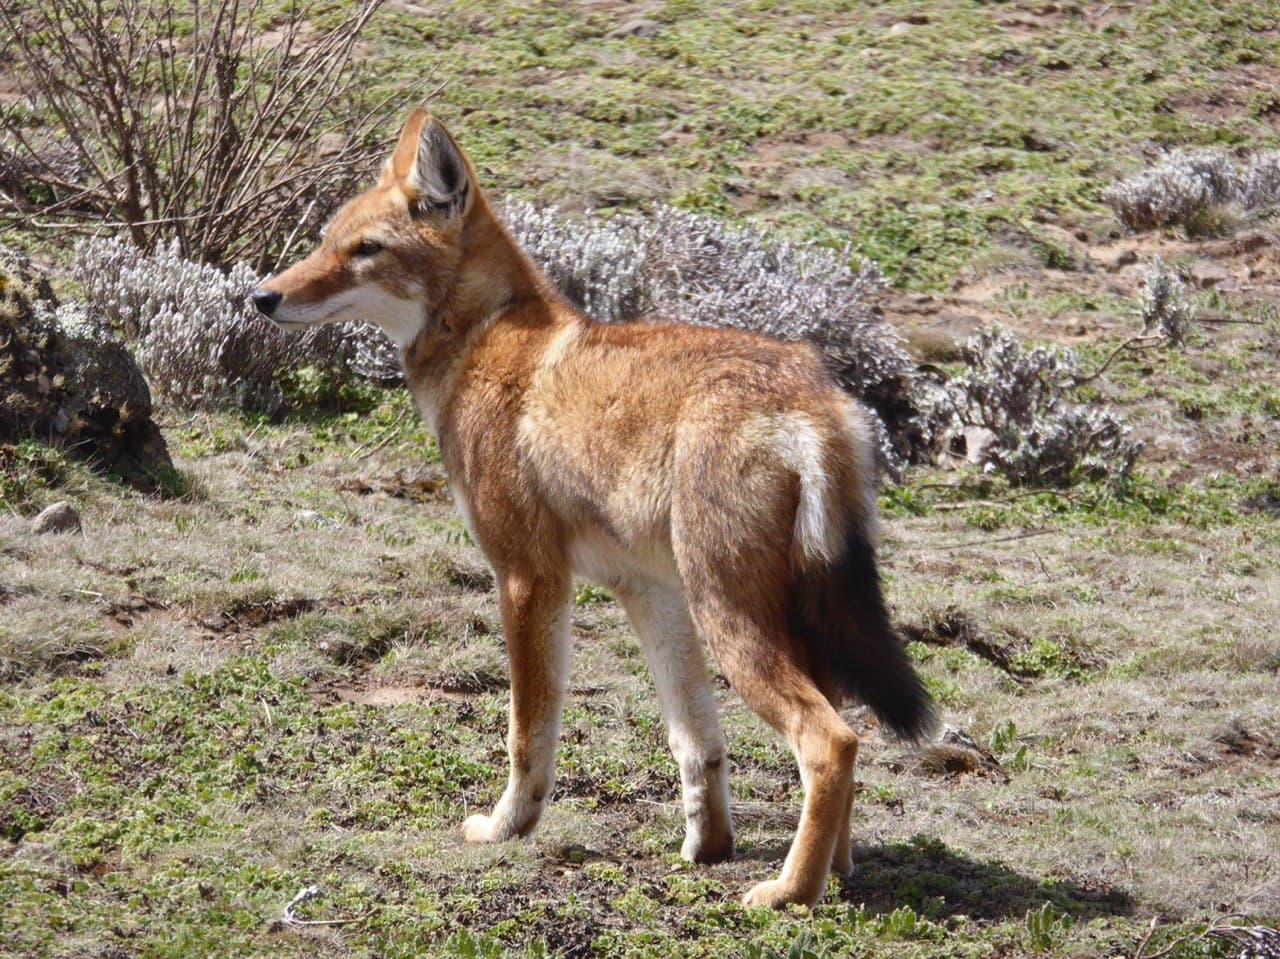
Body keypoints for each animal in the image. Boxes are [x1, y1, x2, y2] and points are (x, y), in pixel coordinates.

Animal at [250, 108, 934, 908]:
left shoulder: (528, 578)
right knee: (841, 735)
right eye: (326, 241)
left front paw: (506, 829)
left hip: (734, 619)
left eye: (365, 251)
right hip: (781, 620)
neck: (486, 339)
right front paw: (707, 847)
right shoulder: (648, 593)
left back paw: (788, 892)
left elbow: (528, 732)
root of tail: (819, 398)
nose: (262, 296)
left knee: (832, 741)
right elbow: (695, 742)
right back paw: (837, 869)